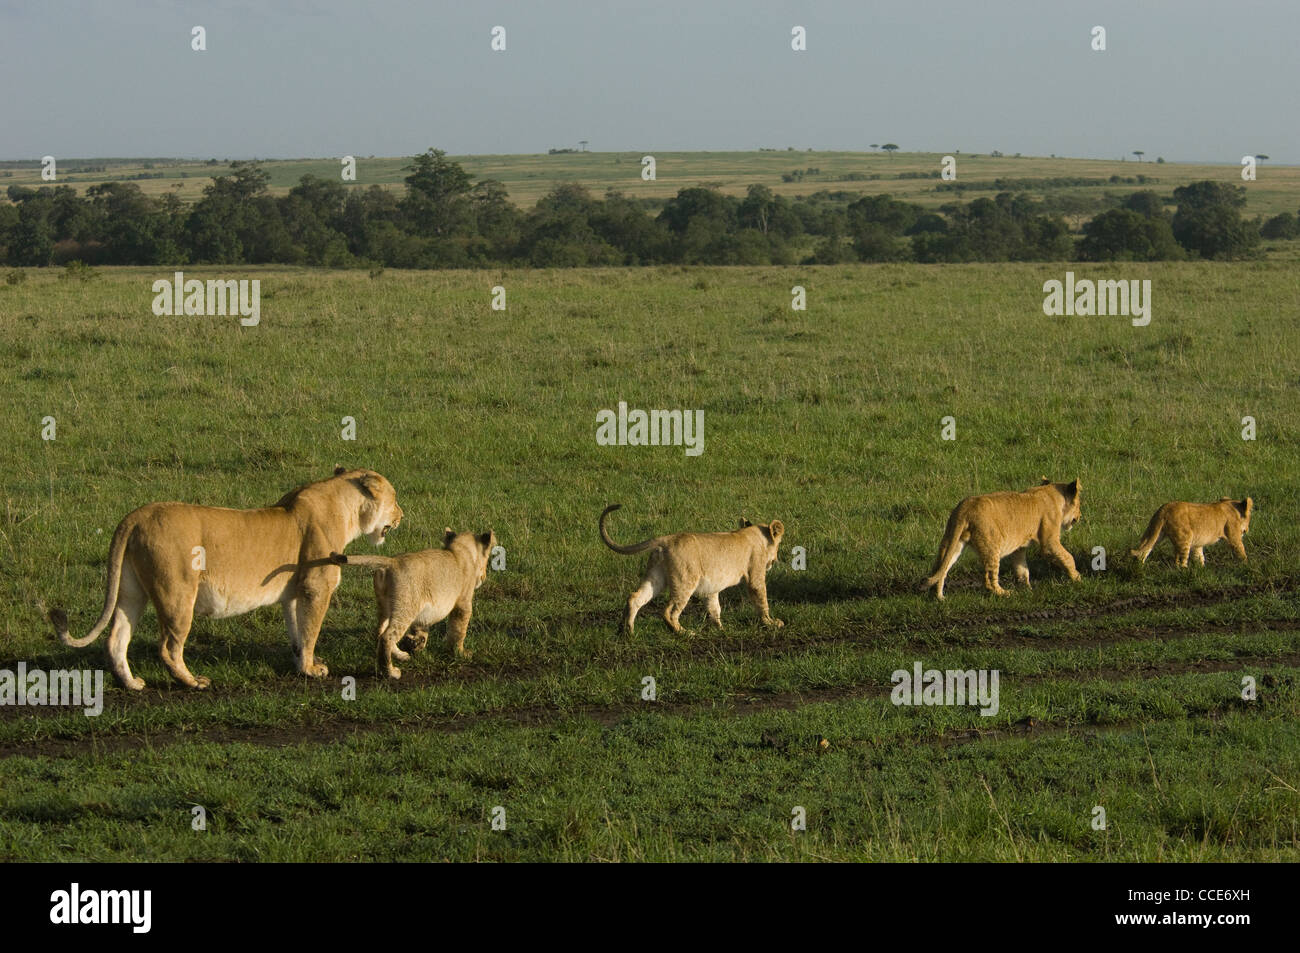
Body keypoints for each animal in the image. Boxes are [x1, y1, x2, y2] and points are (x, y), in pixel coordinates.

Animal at [48, 467, 403, 690]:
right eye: (395, 497)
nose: (402, 515)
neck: (346, 508)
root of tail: (136, 516)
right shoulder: (317, 588)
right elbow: (312, 629)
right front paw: (312, 670)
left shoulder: (293, 593)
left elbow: (298, 633)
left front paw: (302, 663)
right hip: (178, 592)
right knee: (168, 647)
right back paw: (193, 682)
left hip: (131, 591)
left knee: (116, 638)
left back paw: (132, 684)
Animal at [329, 528, 495, 678]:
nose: (484, 577)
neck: (460, 550)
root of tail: (392, 562)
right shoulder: (463, 604)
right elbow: (459, 631)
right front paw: (460, 653)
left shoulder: (424, 612)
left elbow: (421, 630)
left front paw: (417, 645)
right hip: (406, 607)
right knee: (387, 636)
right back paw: (390, 672)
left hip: (384, 606)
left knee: (379, 631)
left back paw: (402, 655)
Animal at [599, 503, 784, 634]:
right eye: (778, 545)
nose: (774, 560)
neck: (753, 533)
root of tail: (666, 539)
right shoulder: (755, 575)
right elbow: (762, 601)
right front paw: (771, 623)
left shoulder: (712, 587)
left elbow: (714, 608)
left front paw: (721, 629)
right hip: (685, 580)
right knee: (668, 611)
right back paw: (684, 633)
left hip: (655, 577)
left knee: (634, 598)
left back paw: (627, 632)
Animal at [921, 478, 1082, 600]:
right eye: (1079, 505)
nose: (1080, 516)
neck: (1052, 493)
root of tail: (966, 507)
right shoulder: (1049, 541)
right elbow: (1068, 557)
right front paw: (1077, 577)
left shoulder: (1020, 547)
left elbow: (1022, 568)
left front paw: (1027, 589)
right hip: (992, 544)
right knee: (989, 580)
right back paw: (1005, 593)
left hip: (952, 542)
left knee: (941, 567)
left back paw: (939, 597)